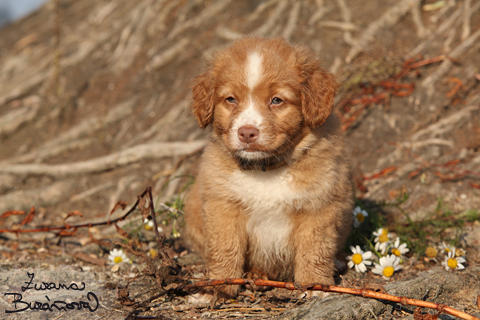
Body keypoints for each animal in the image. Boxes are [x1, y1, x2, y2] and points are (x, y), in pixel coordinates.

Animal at [184, 37, 352, 300]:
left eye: (276, 100)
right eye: (230, 99)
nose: (247, 133)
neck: (265, 169)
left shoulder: (319, 205)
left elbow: (315, 250)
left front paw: (315, 286)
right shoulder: (222, 205)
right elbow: (224, 249)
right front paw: (218, 286)